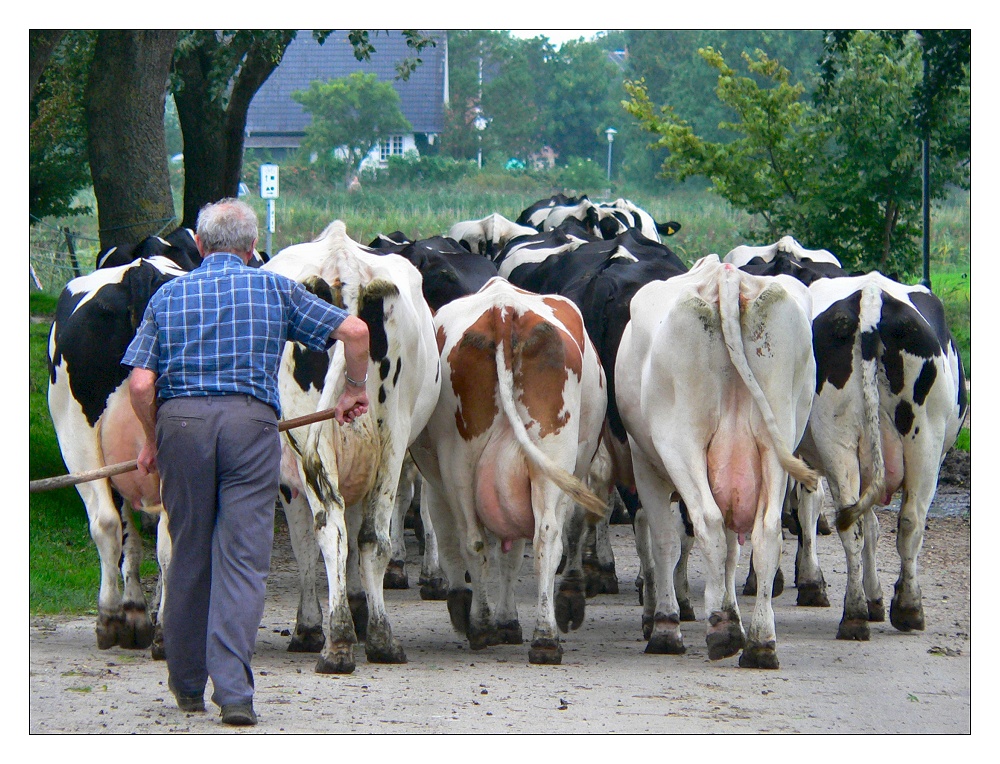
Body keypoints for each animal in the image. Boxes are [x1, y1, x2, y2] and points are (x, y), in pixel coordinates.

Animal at [410, 278, 604, 664]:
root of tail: (503, 311)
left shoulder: (436, 482)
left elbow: (454, 540)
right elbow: (510, 553)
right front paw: (507, 619)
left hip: (459, 462)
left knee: (475, 540)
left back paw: (484, 625)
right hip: (550, 455)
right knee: (545, 537)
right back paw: (544, 638)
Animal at [616, 256, 820, 668]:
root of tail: (726, 277)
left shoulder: (645, 465)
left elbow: (665, 542)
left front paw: (666, 625)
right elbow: (732, 549)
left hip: (681, 443)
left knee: (706, 523)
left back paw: (720, 631)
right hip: (776, 439)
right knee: (766, 531)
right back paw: (760, 642)